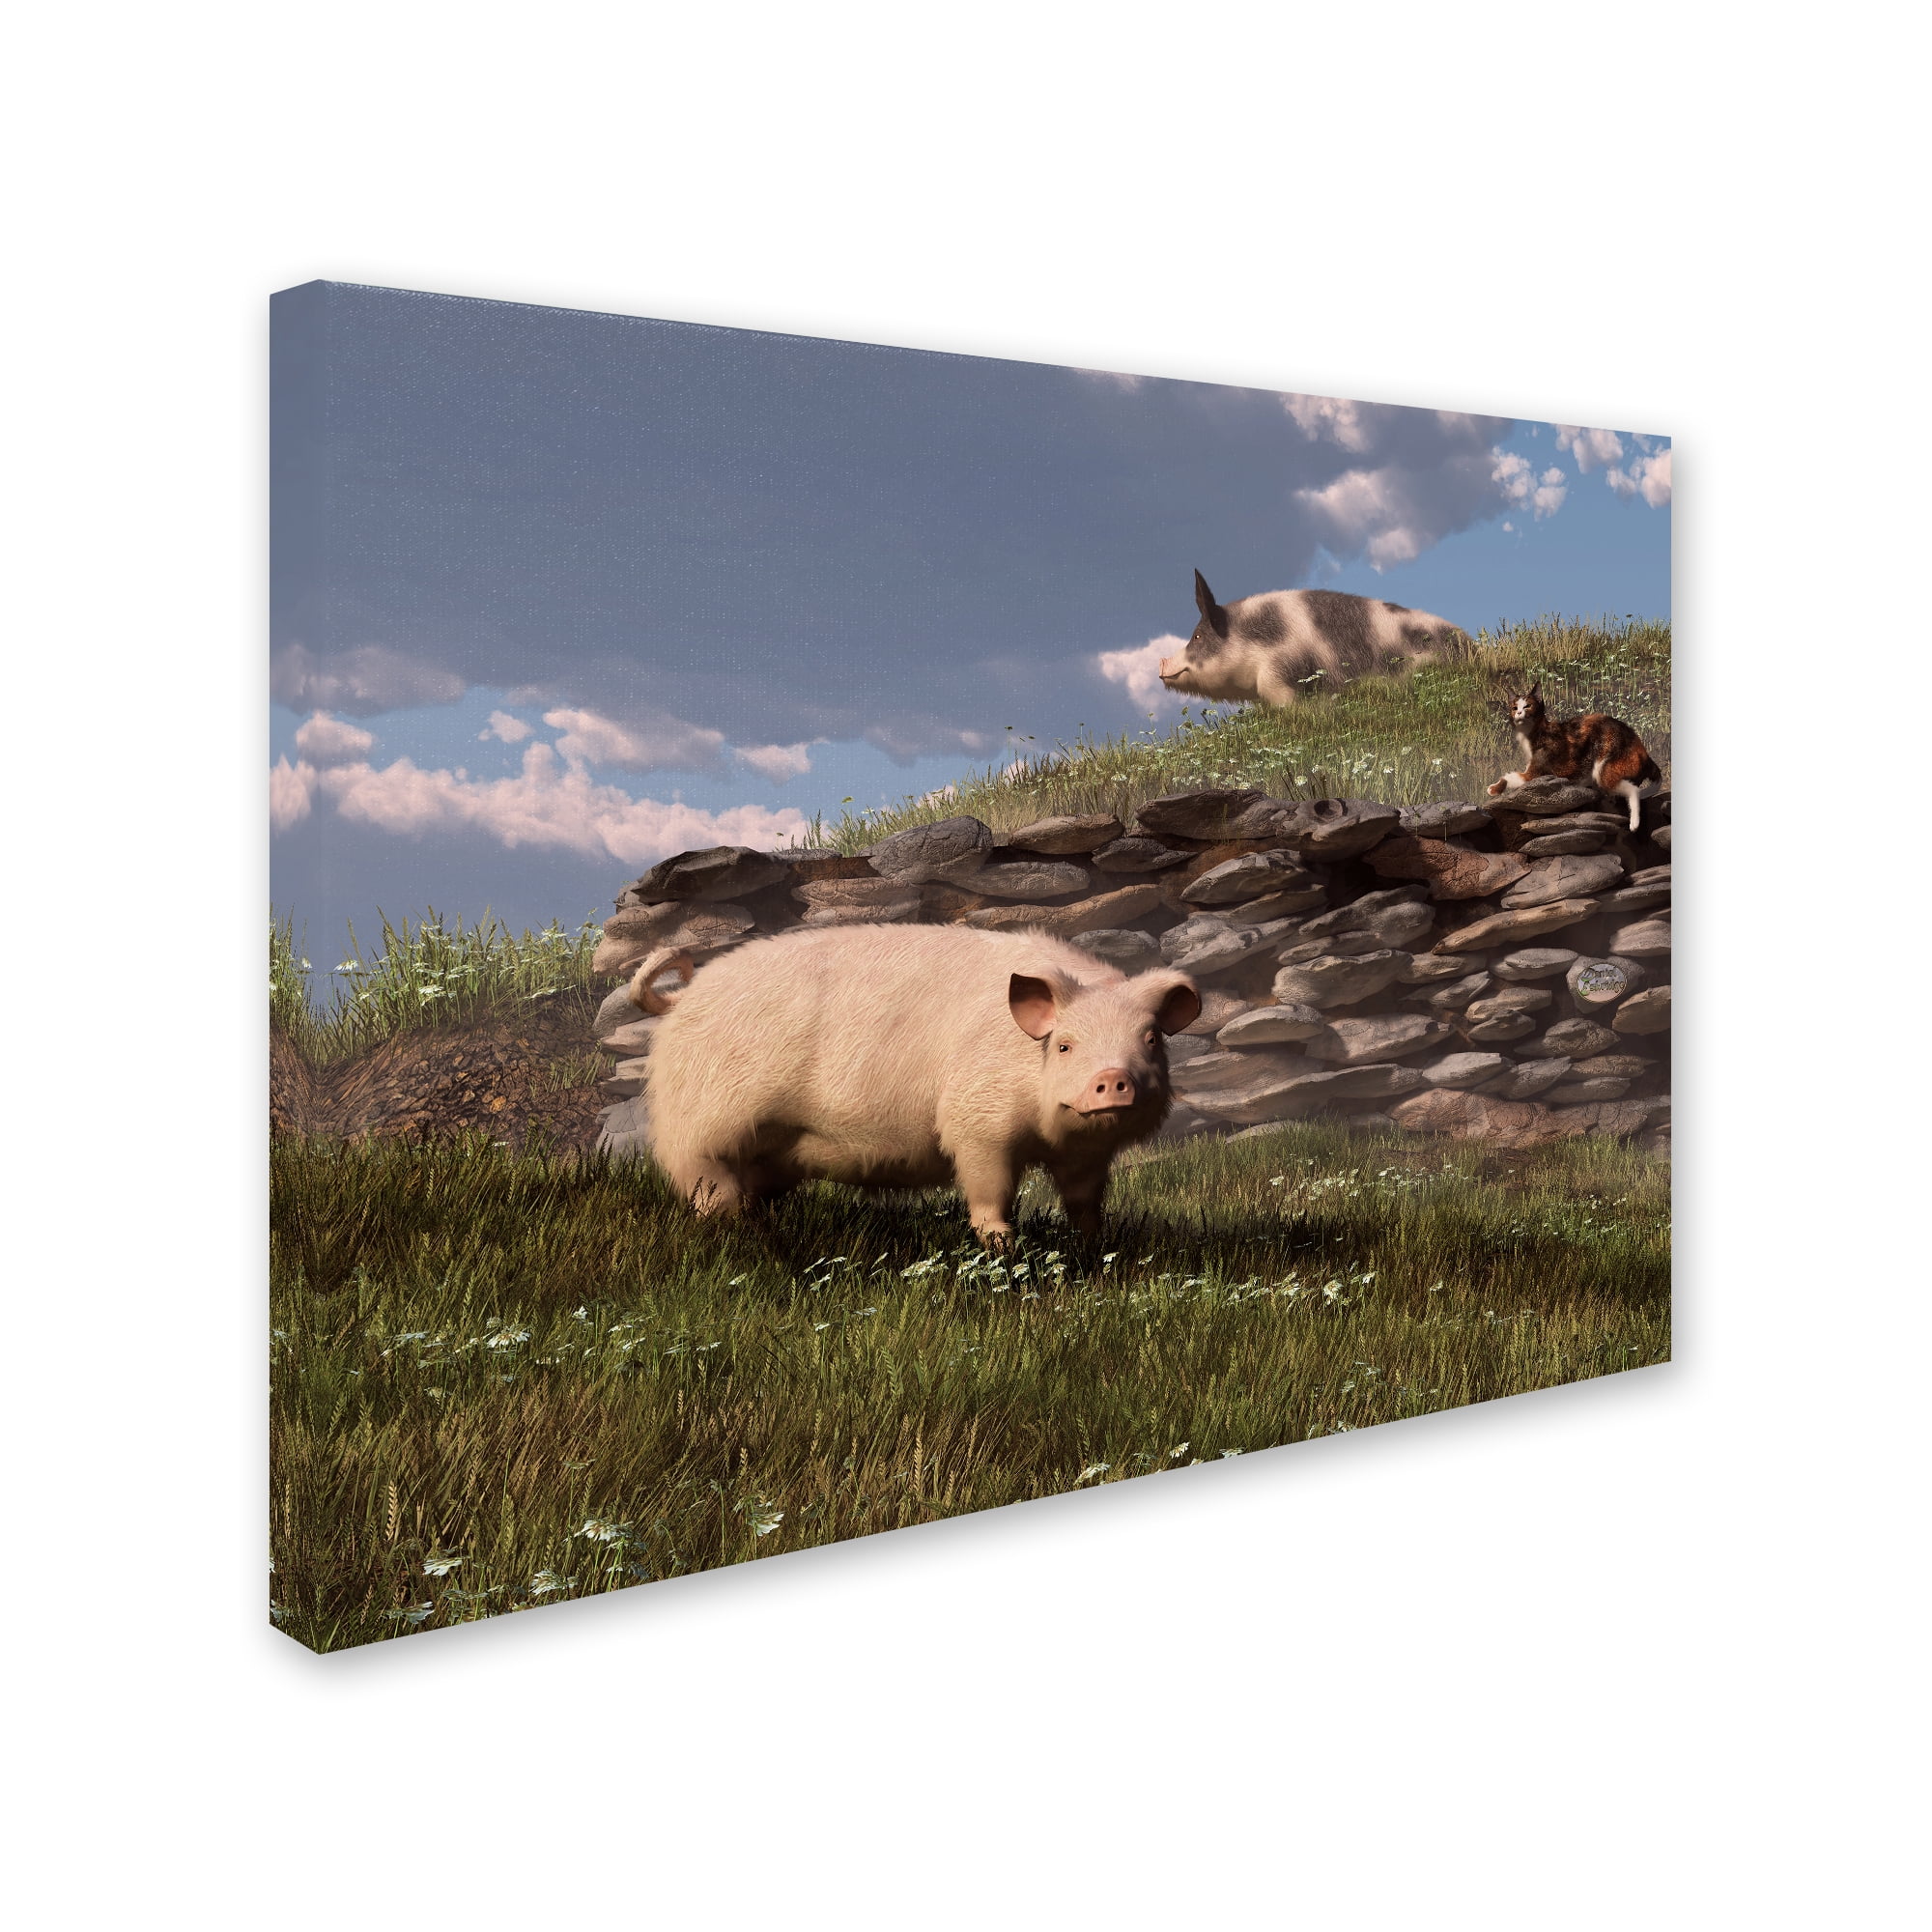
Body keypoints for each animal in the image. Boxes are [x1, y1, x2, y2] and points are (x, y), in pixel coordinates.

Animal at [625, 926, 1201, 1246]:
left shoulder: (1087, 1152)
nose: (1114, 1077)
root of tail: (682, 999)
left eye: (1150, 1039)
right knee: (706, 1187)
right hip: (700, 1129)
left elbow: (1085, 1201)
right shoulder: (974, 1122)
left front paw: (1092, 1247)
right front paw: (1003, 1247)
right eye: (1064, 1045)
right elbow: (989, 1191)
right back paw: (742, 1238)